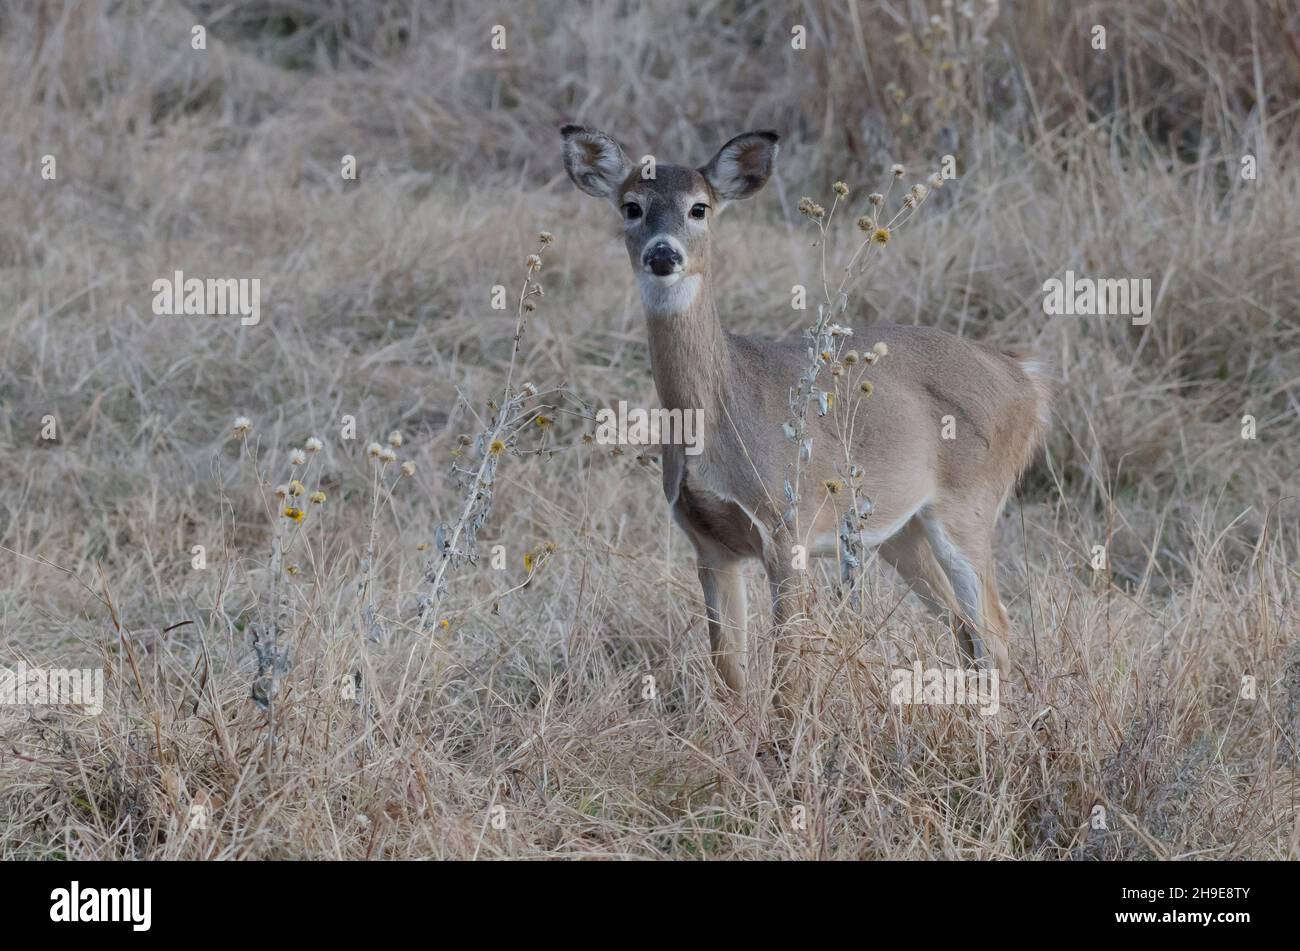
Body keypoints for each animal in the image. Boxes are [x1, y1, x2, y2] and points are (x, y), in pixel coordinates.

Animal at [561, 125, 1051, 708]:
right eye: (631, 206)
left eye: (700, 207)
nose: (663, 253)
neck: (719, 418)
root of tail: (1024, 376)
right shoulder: (709, 543)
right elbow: (729, 672)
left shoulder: (785, 525)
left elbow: (788, 673)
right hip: (901, 529)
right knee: (964, 629)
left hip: (969, 501)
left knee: (995, 628)